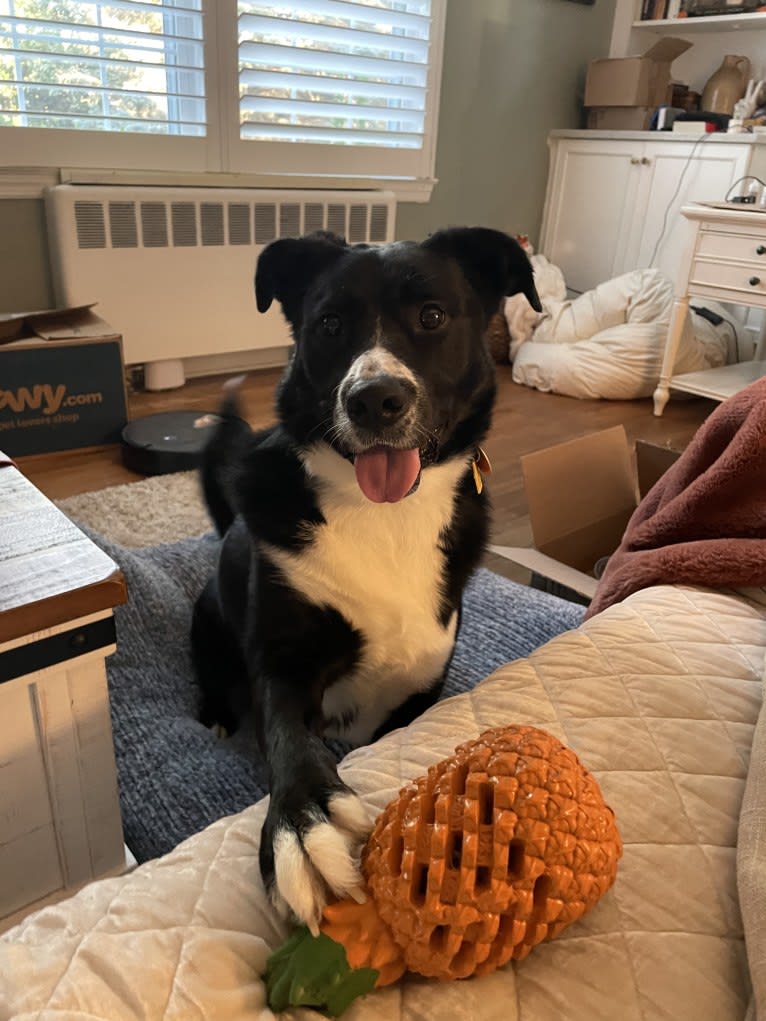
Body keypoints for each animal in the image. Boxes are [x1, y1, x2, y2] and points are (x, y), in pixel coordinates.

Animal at [190, 229, 539, 935]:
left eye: (431, 316)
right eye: (329, 324)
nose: (374, 399)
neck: (387, 514)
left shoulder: (422, 687)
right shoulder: (284, 662)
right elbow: (287, 734)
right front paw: (303, 823)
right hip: (210, 615)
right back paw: (215, 715)